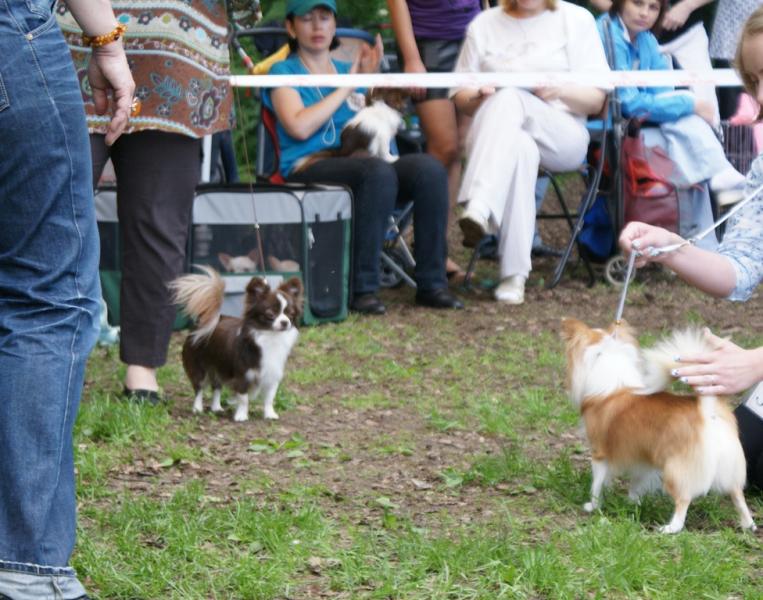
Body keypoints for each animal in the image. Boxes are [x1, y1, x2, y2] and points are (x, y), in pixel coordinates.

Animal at [170, 266, 303, 422]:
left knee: (216, 387)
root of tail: (203, 323)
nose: (285, 322)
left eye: (291, 314)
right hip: (199, 368)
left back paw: (216, 407)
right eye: (270, 314)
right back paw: (197, 408)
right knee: (199, 388)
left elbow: (269, 398)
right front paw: (241, 416)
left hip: (219, 368)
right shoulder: (242, 376)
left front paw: (270, 414)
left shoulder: (272, 375)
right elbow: (244, 399)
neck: (269, 337)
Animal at [561, 318, 756, 533]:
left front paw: (593, 506)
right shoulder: (643, 458)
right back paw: (748, 525)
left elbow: (597, 484)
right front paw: (634, 503)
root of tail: (706, 410)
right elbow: (636, 484)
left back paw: (670, 528)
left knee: (683, 500)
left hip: (674, 471)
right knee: (737, 495)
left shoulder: (599, 454)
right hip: (729, 469)